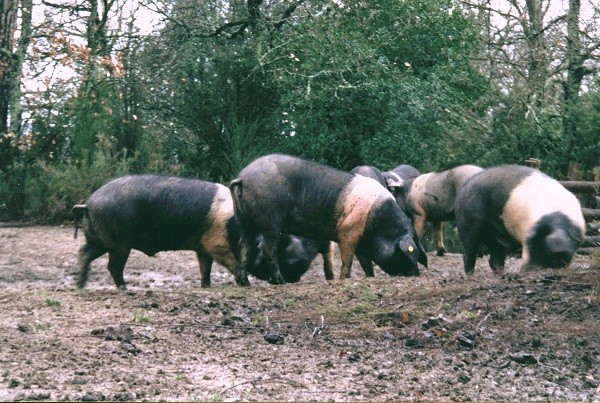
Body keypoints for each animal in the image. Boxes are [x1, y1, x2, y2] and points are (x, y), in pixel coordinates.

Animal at [229, 153, 426, 286]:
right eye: (407, 254)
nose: (416, 274)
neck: (379, 223)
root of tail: (242, 176)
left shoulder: (360, 241)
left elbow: (365, 262)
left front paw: (369, 277)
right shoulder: (348, 233)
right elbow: (348, 258)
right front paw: (344, 279)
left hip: (243, 221)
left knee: (243, 246)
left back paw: (244, 282)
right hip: (270, 223)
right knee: (268, 249)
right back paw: (280, 281)